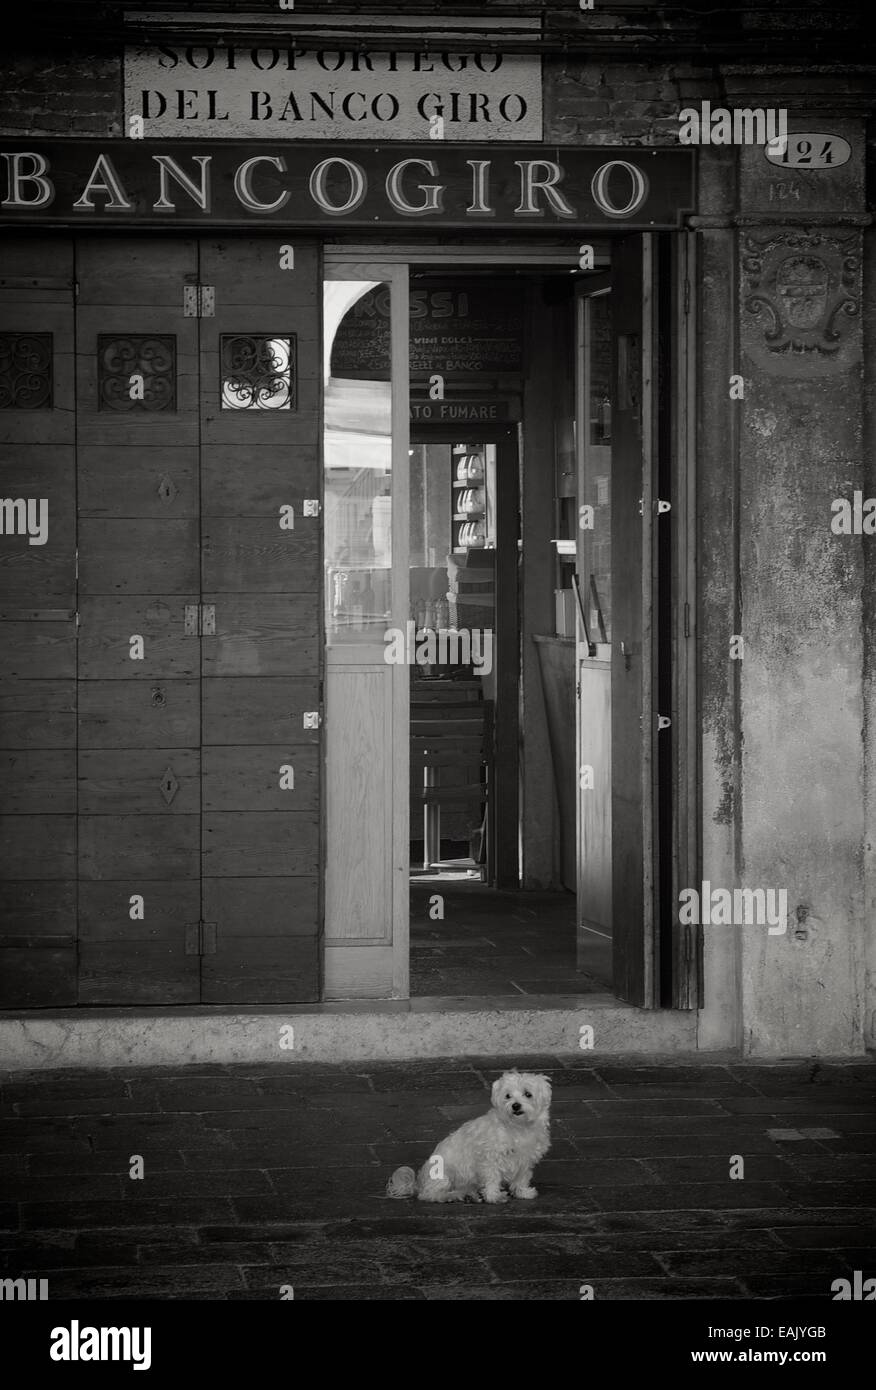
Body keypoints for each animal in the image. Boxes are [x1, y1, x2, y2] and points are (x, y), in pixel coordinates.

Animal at [386, 1073, 553, 1206]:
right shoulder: (490, 1159)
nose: (515, 1106)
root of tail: (419, 1183)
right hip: (445, 1175)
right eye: (508, 1096)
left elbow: (521, 1178)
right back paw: (453, 1195)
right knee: (430, 1194)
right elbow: (492, 1178)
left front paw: (523, 1192)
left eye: (528, 1094)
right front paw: (494, 1197)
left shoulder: (525, 1160)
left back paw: (470, 1195)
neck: (518, 1127)